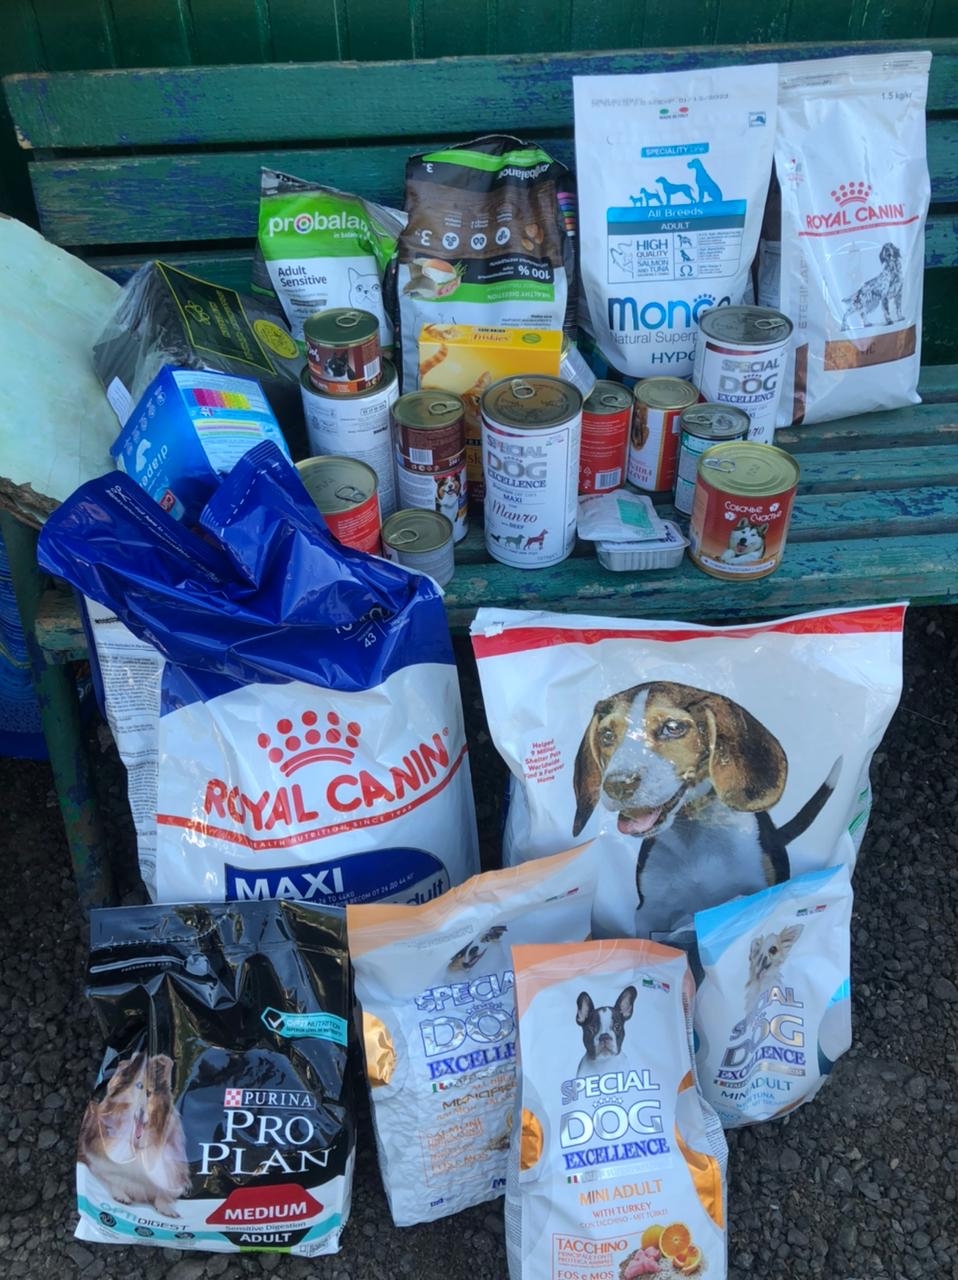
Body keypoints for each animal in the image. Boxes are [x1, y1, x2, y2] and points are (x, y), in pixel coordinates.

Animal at [78, 1052, 190, 1217]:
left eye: (149, 1093)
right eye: (138, 1088)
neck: (137, 1148)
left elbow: (162, 1193)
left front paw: (168, 1210)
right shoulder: (96, 1161)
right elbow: (112, 1178)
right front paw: (122, 1197)